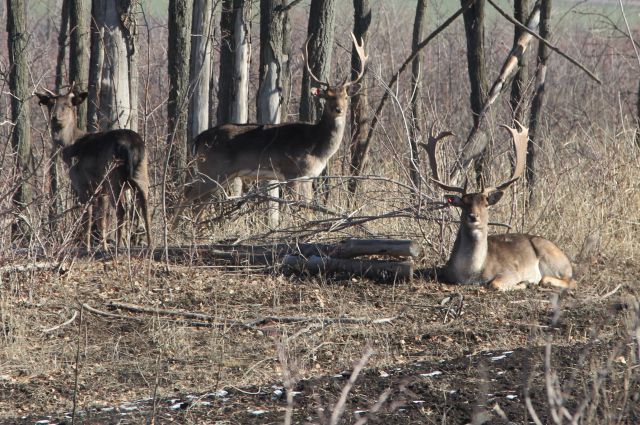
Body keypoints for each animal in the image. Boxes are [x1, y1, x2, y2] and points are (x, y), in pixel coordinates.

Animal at [37, 83, 151, 248]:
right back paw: (150, 244)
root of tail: (132, 146)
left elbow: (87, 217)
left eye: (68, 105)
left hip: (113, 176)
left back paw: (119, 245)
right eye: (51, 104)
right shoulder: (101, 190)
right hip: (142, 172)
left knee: (121, 209)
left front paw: (88, 247)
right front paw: (103, 247)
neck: (70, 149)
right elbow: (101, 219)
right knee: (145, 206)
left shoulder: (82, 183)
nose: (55, 117)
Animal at [175, 32, 368, 220]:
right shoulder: (292, 171)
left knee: (198, 203)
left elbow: (307, 207)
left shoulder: (308, 176)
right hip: (212, 169)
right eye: (328, 97)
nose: (339, 109)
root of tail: (199, 138)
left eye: (345, 96)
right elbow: (295, 207)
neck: (317, 147)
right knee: (187, 197)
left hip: (219, 175)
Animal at [422, 121, 576, 288]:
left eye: (485, 203)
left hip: (552, 258)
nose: (473, 216)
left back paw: (537, 281)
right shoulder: (446, 272)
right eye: (463, 203)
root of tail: (568, 261)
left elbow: (494, 283)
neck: (472, 273)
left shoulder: (510, 271)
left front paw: (523, 283)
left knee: (570, 281)